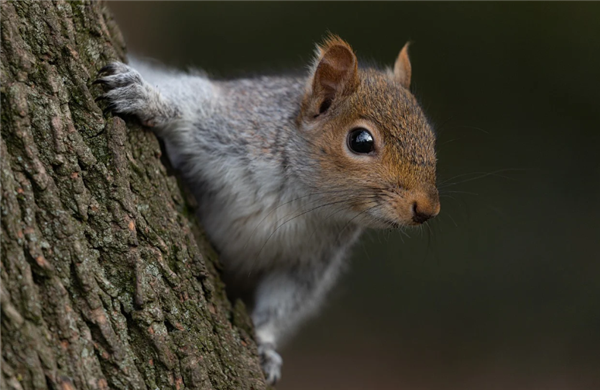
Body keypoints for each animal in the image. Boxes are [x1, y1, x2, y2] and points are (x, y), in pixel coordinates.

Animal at [96, 35, 438, 386]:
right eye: (361, 141)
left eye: (431, 137)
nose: (427, 209)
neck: (300, 196)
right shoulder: (233, 120)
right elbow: (190, 101)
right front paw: (145, 96)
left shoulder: (308, 263)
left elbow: (282, 303)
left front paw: (265, 346)